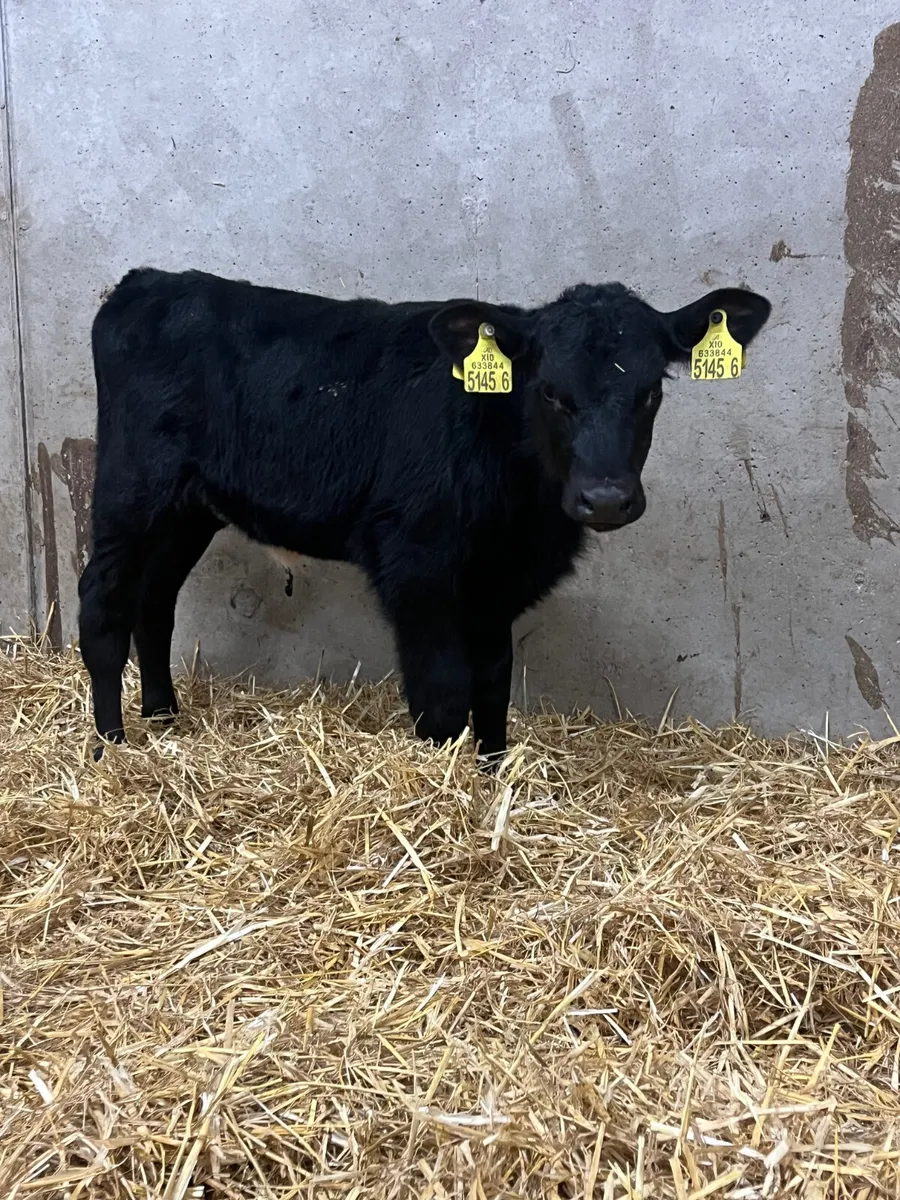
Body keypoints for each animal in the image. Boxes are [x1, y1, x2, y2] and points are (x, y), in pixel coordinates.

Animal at [78, 268, 770, 762]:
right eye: (549, 390)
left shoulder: (498, 581)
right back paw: (112, 747)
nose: (604, 498)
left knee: (155, 602)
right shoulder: (415, 566)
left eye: (651, 390)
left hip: (186, 510)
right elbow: (442, 695)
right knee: (103, 602)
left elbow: (492, 686)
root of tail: (149, 281)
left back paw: (164, 720)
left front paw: (490, 776)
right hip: (129, 491)